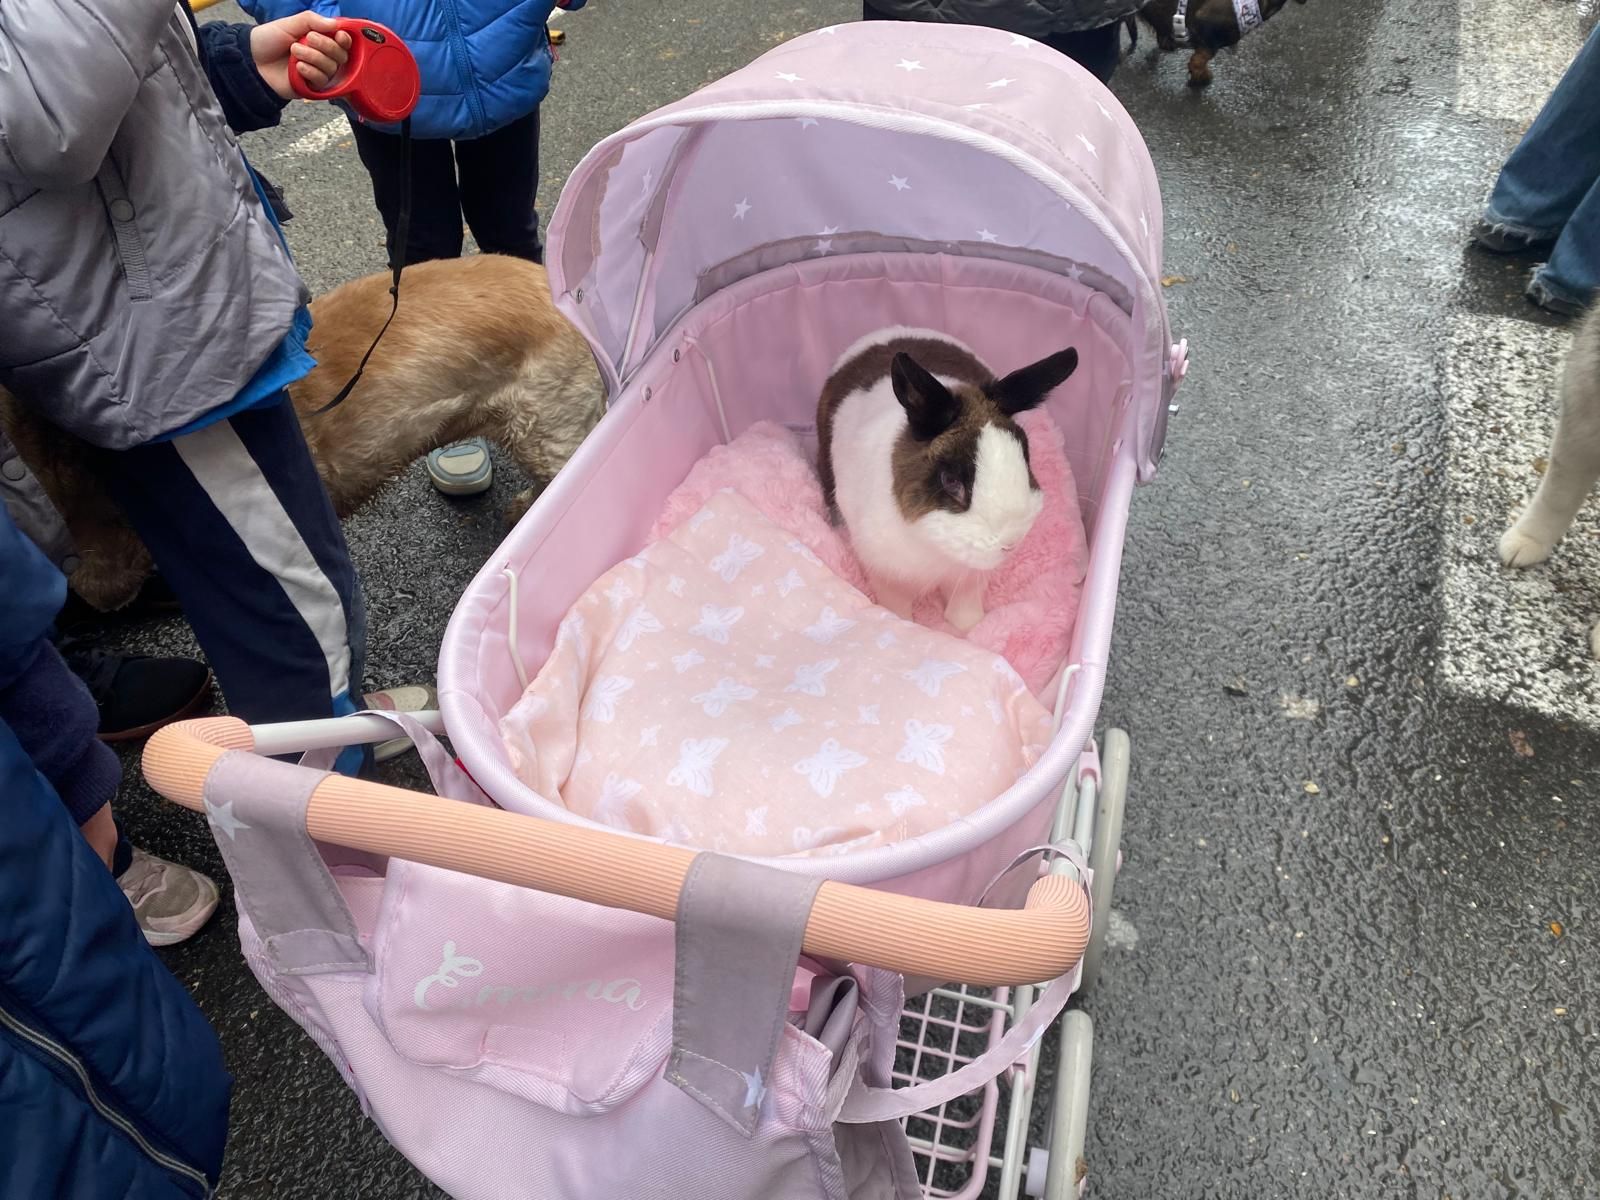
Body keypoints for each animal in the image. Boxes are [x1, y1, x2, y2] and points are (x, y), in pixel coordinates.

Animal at [819, 324, 1081, 633]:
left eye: (1025, 454)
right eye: (950, 481)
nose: (1011, 543)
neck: (936, 548)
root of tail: (886, 332)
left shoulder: (970, 576)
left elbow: (964, 603)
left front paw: (969, 627)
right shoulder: (885, 571)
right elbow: (895, 603)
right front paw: (901, 624)